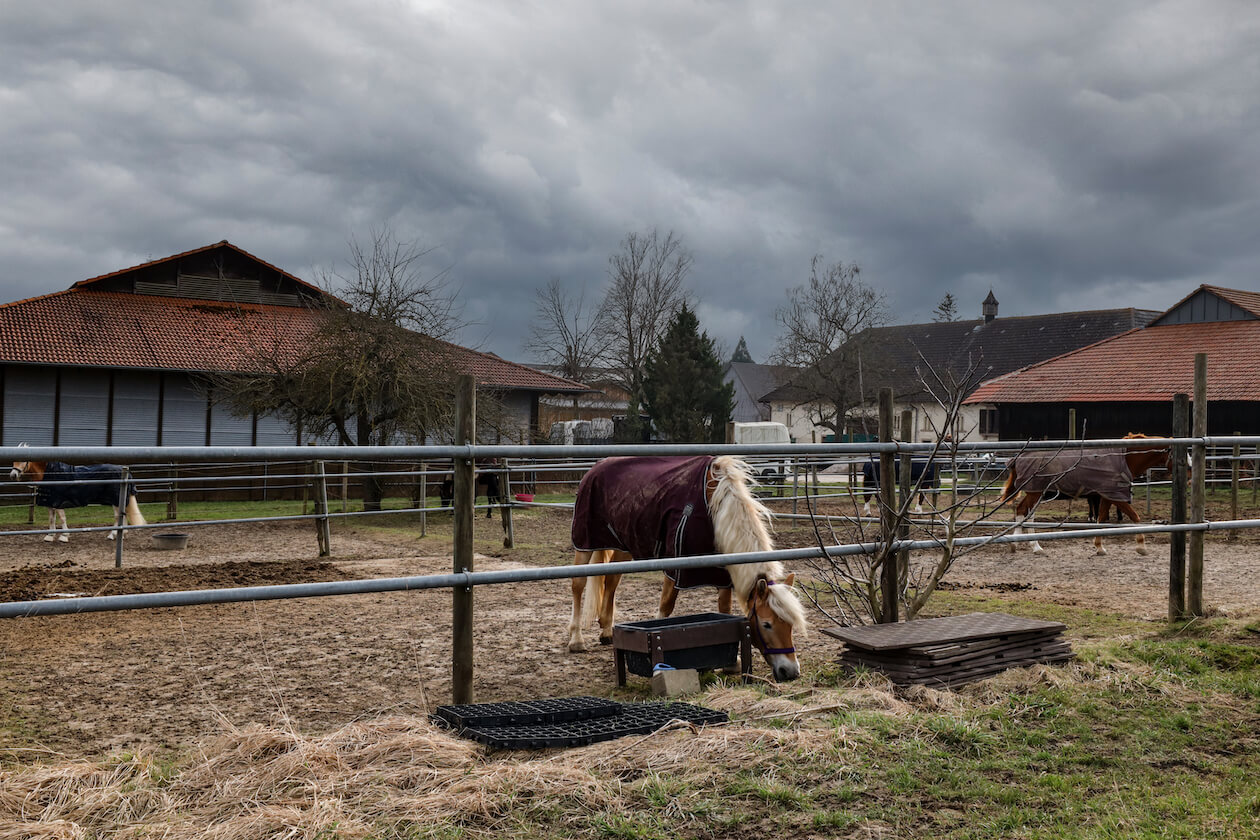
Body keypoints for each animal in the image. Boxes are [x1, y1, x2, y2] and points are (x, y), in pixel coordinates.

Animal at [9, 453, 146, 542]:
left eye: (23, 460)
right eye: (13, 461)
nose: (13, 475)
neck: (50, 473)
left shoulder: (58, 501)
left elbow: (62, 518)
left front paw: (64, 536)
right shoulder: (51, 502)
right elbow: (52, 519)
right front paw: (50, 536)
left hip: (115, 500)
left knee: (118, 516)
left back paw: (113, 535)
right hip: (116, 501)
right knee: (121, 516)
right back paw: (119, 535)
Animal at [566, 454, 807, 682]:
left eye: (790, 624)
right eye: (767, 624)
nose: (790, 671)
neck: (715, 504)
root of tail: (596, 468)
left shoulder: (720, 573)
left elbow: (724, 609)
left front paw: (732, 662)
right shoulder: (676, 567)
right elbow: (666, 606)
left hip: (622, 545)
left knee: (611, 581)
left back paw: (607, 631)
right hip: (585, 542)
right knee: (578, 585)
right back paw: (576, 639)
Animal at [997, 433, 1171, 555]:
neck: (1123, 458)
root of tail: (1019, 457)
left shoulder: (1106, 496)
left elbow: (1101, 519)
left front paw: (1100, 547)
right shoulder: (1114, 496)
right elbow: (1135, 517)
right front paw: (1141, 546)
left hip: (1036, 493)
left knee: (1023, 511)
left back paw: (1021, 545)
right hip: (1035, 493)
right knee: (1024, 511)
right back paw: (1032, 546)